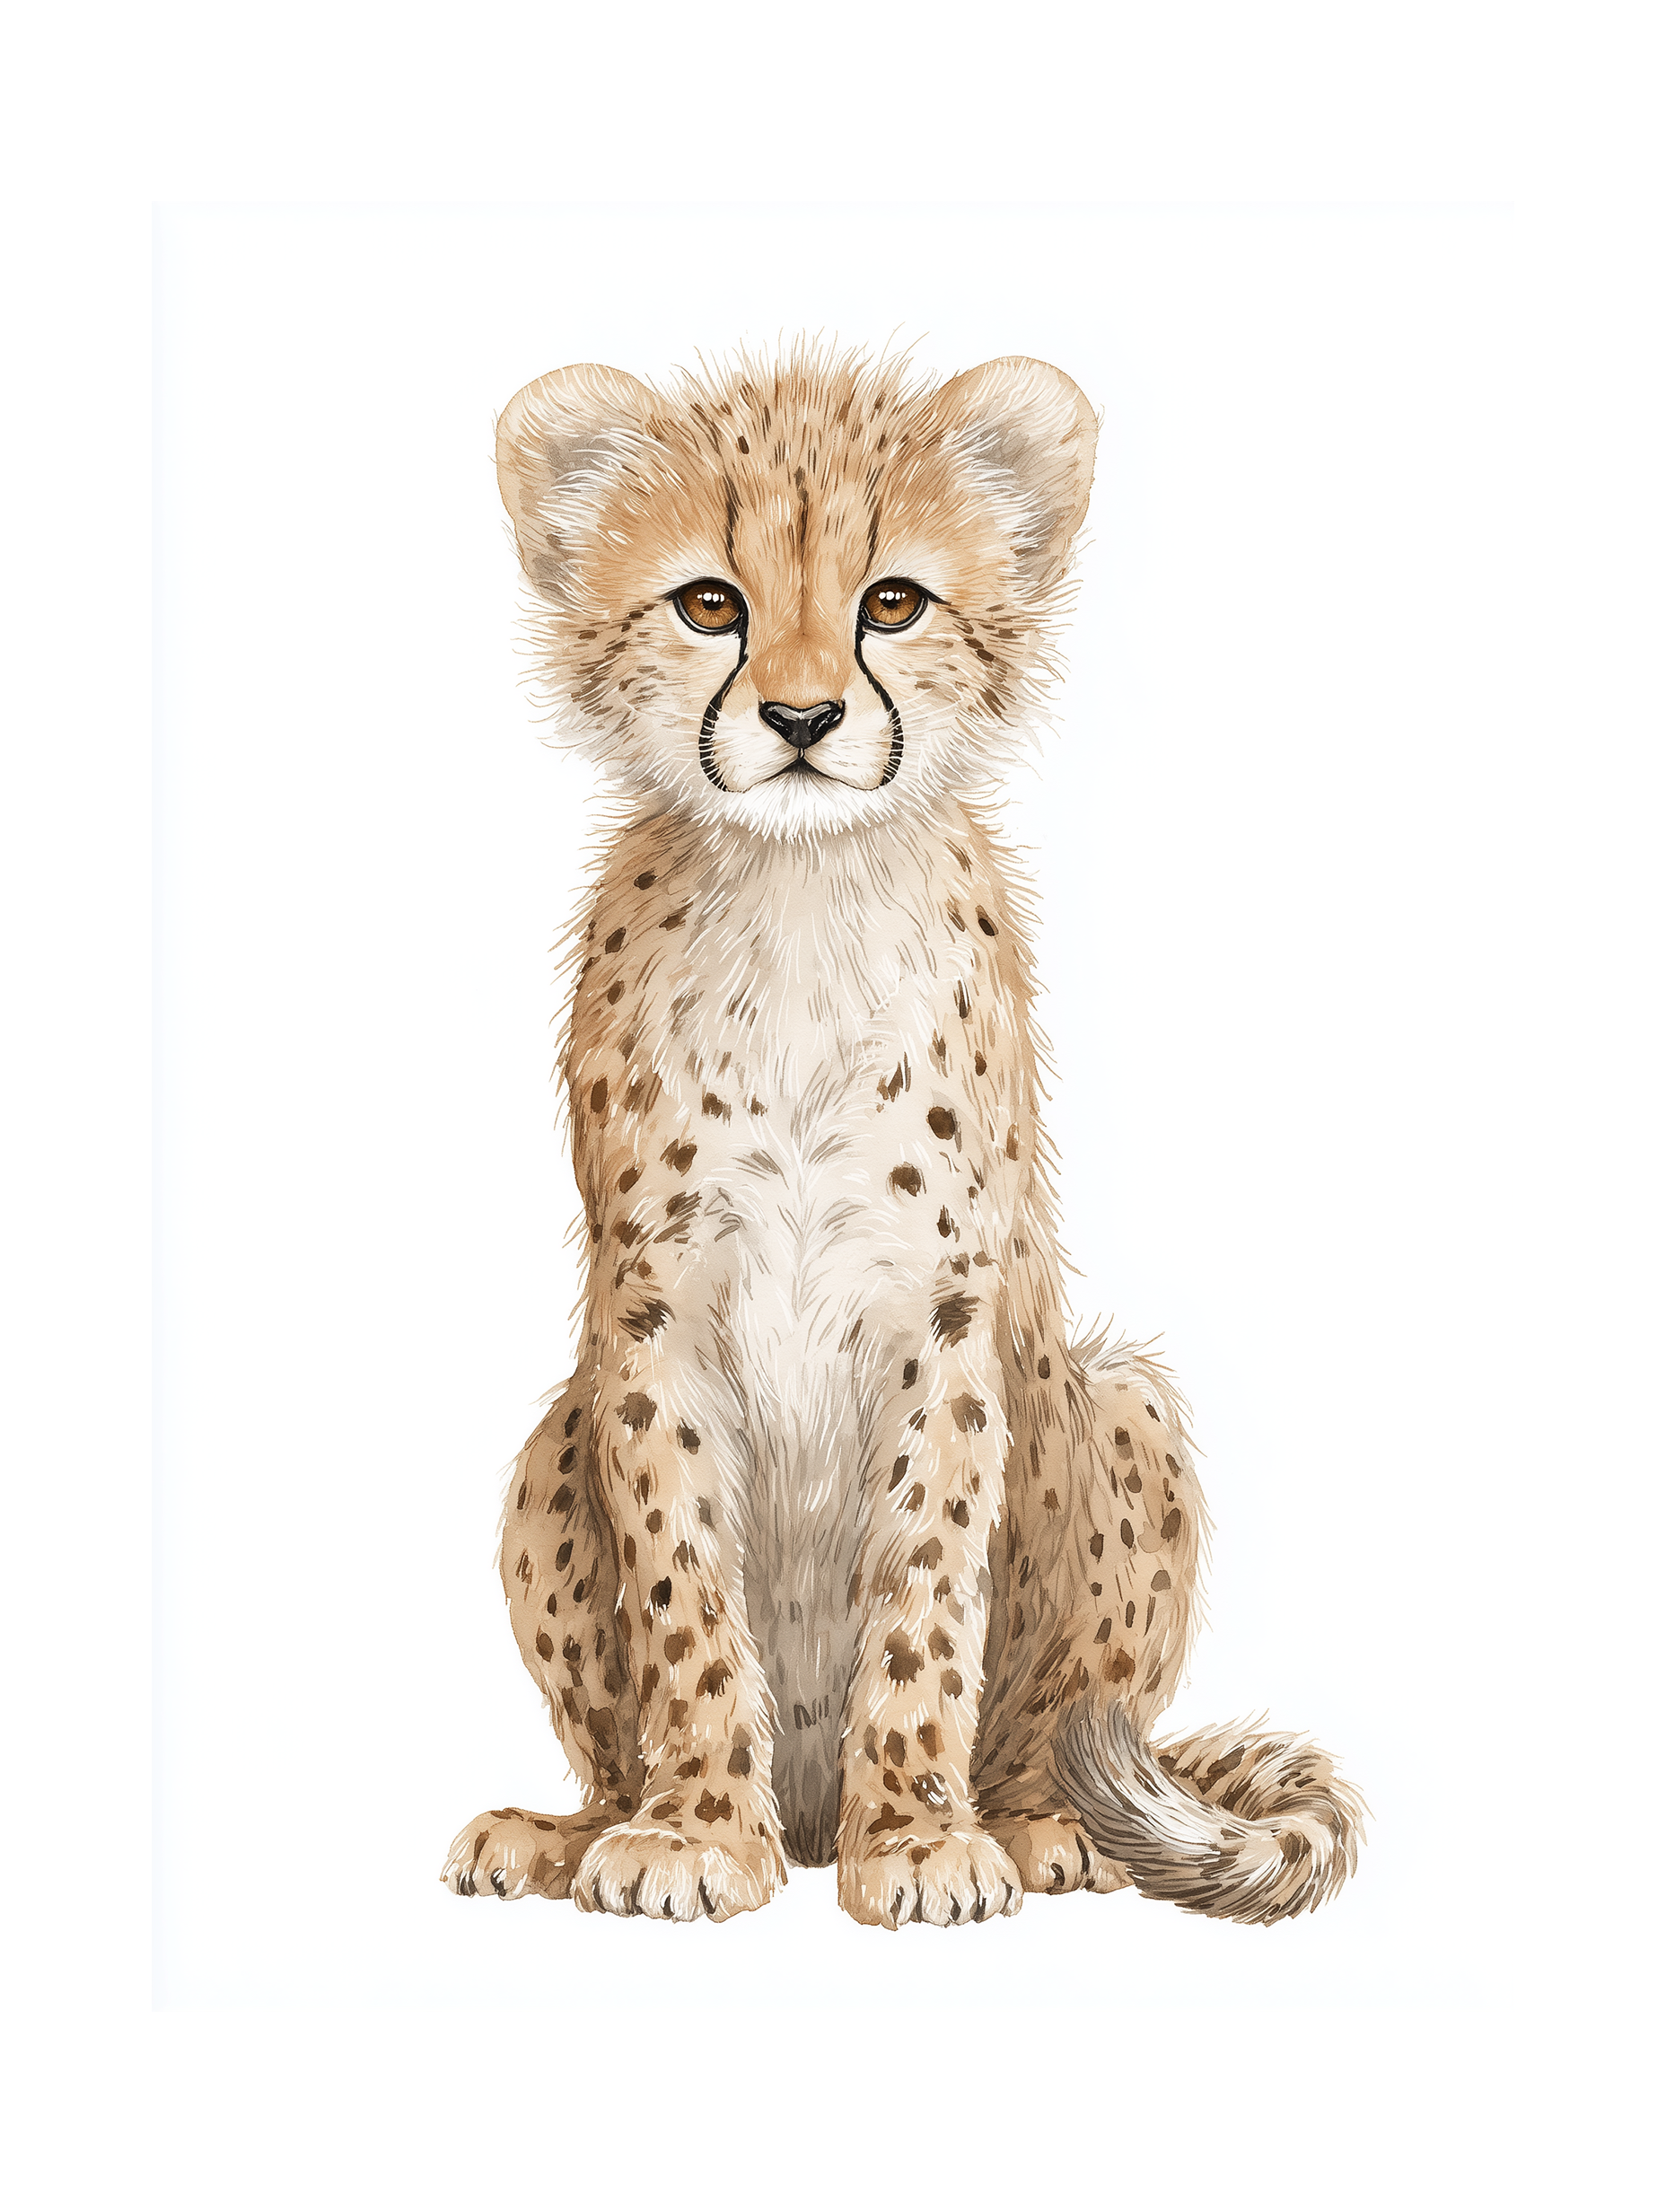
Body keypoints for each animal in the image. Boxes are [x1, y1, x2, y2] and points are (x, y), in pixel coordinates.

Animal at [441, 344, 1365, 1928]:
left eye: (891, 604)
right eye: (710, 605)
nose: (805, 721)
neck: (801, 896)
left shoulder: (947, 1318)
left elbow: (926, 1590)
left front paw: (922, 1842)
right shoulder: (649, 1319)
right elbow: (683, 1594)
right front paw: (695, 1831)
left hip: (1125, 1408)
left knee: (1067, 1725)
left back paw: (1039, 1826)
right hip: (552, 1439)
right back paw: (571, 1831)